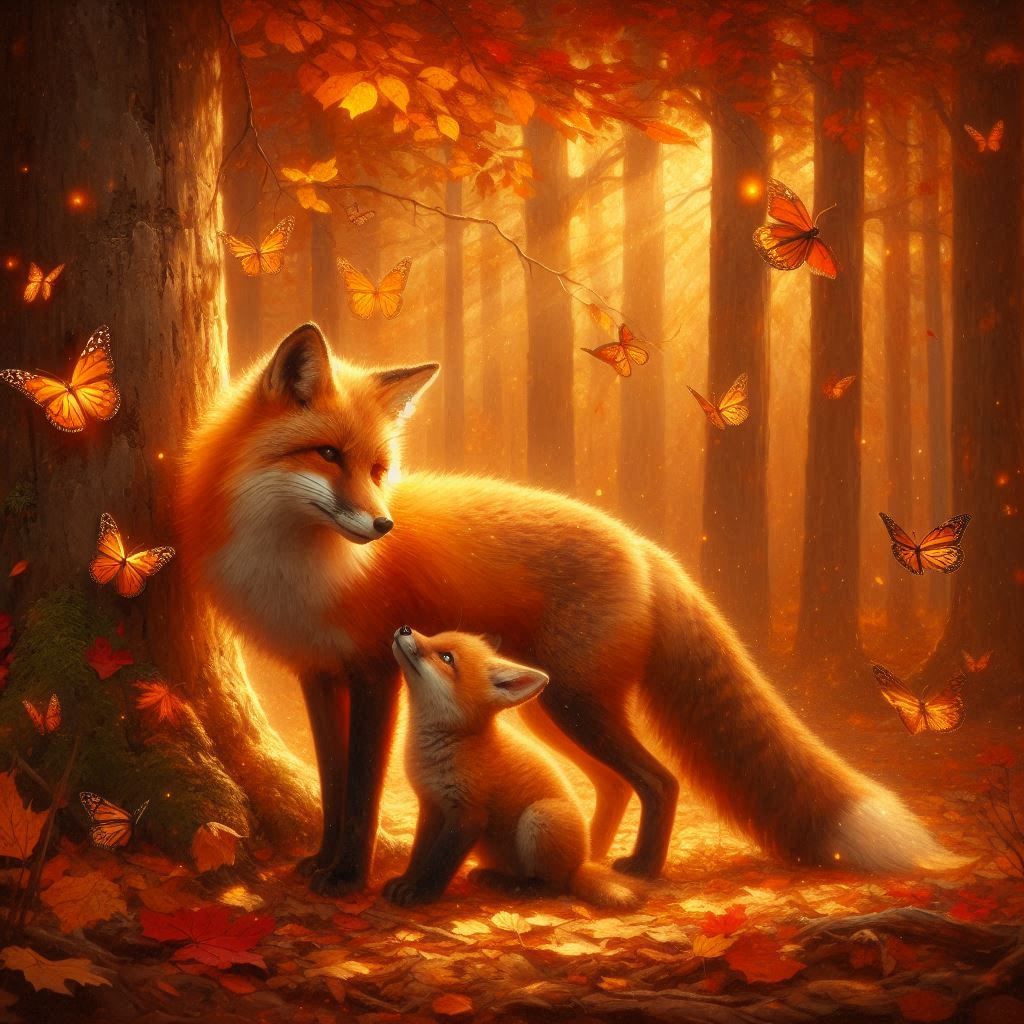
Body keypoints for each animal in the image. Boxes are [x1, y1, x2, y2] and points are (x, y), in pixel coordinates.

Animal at [386, 626, 643, 908]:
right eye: (435, 637)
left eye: (446, 658)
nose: (405, 628)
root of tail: (581, 863)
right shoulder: (431, 805)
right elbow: (421, 852)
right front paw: (407, 880)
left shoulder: (469, 814)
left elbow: (440, 861)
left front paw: (423, 893)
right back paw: (493, 876)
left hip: (540, 817)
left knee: (554, 886)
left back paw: (517, 886)